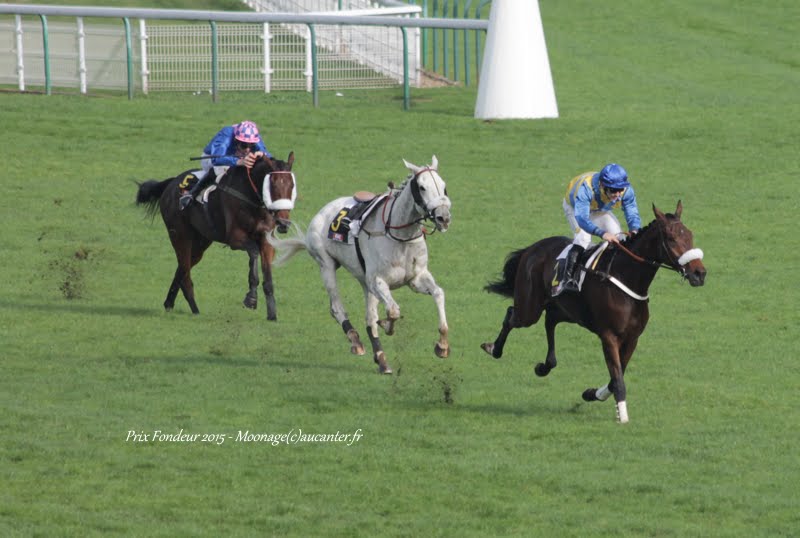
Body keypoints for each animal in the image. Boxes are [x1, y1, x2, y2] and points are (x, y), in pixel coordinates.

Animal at [134, 151, 296, 318]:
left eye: (292, 185)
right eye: (272, 185)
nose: (283, 222)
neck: (251, 198)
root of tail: (171, 183)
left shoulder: (266, 241)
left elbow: (268, 278)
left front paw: (272, 315)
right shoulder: (235, 238)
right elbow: (254, 252)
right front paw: (251, 298)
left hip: (201, 241)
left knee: (183, 268)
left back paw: (170, 303)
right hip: (179, 234)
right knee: (185, 271)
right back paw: (194, 310)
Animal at [270, 155, 450, 372]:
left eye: (444, 186)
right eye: (422, 187)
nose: (443, 217)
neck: (399, 235)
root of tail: (323, 210)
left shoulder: (416, 278)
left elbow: (438, 293)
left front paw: (442, 345)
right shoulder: (378, 281)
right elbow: (393, 311)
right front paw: (387, 325)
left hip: (364, 281)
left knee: (369, 318)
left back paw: (381, 359)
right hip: (326, 265)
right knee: (337, 308)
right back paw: (355, 340)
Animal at [478, 201, 704, 422]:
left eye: (690, 235)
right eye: (671, 238)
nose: (699, 273)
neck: (626, 276)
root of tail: (533, 248)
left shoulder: (632, 337)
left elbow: (615, 378)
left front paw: (591, 394)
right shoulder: (608, 335)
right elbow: (618, 379)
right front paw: (623, 417)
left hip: (567, 310)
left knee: (550, 320)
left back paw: (544, 366)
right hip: (529, 309)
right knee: (511, 315)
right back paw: (493, 348)